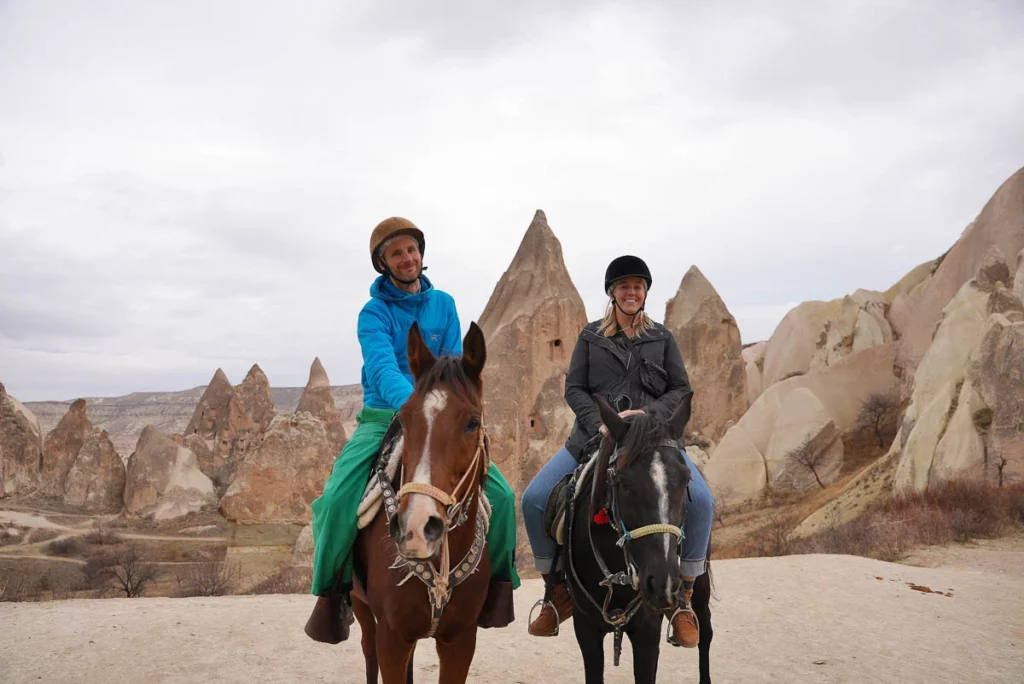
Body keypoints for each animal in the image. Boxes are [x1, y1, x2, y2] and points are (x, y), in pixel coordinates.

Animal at [352, 321, 491, 684]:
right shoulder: (391, 637)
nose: (416, 527)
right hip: (361, 608)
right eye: (404, 418)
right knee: (367, 654)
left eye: (472, 422)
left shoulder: (460, 641)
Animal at [561, 395, 712, 684]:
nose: (663, 583)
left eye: (685, 479)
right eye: (624, 483)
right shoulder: (585, 628)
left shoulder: (647, 630)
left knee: (706, 634)